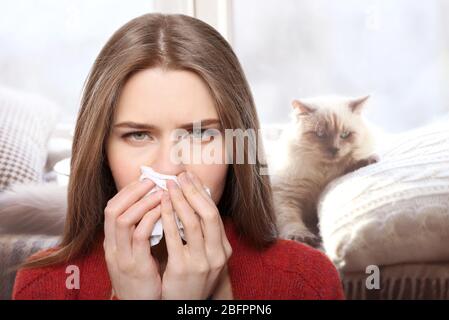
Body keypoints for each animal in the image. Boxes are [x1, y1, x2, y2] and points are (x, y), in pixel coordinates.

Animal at [270, 95, 378, 248]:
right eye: (320, 134)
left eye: (345, 135)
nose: (335, 149)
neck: (323, 173)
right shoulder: (285, 196)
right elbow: (290, 220)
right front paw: (302, 237)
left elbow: (350, 163)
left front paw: (368, 160)